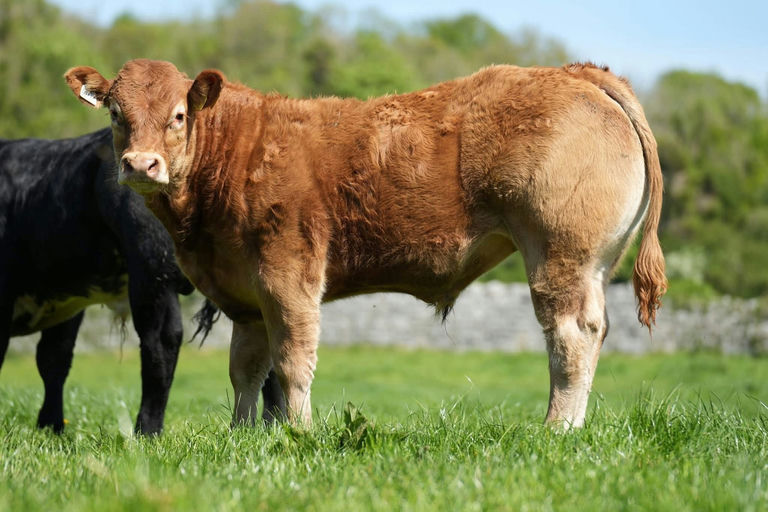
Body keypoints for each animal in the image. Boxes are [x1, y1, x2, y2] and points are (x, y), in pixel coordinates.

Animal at [0, 128, 227, 434]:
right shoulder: (66, 300)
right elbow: (53, 359)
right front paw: (51, 426)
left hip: (151, 270)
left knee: (159, 344)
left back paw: (147, 430)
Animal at [64, 59, 666, 429]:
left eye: (179, 115)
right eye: (116, 114)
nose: (140, 165)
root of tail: (574, 72)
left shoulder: (289, 275)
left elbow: (292, 362)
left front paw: (299, 434)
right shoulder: (245, 296)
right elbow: (246, 368)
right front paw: (241, 434)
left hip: (560, 254)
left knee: (570, 335)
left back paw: (556, 429)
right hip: (592, 263)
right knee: (594, 330)